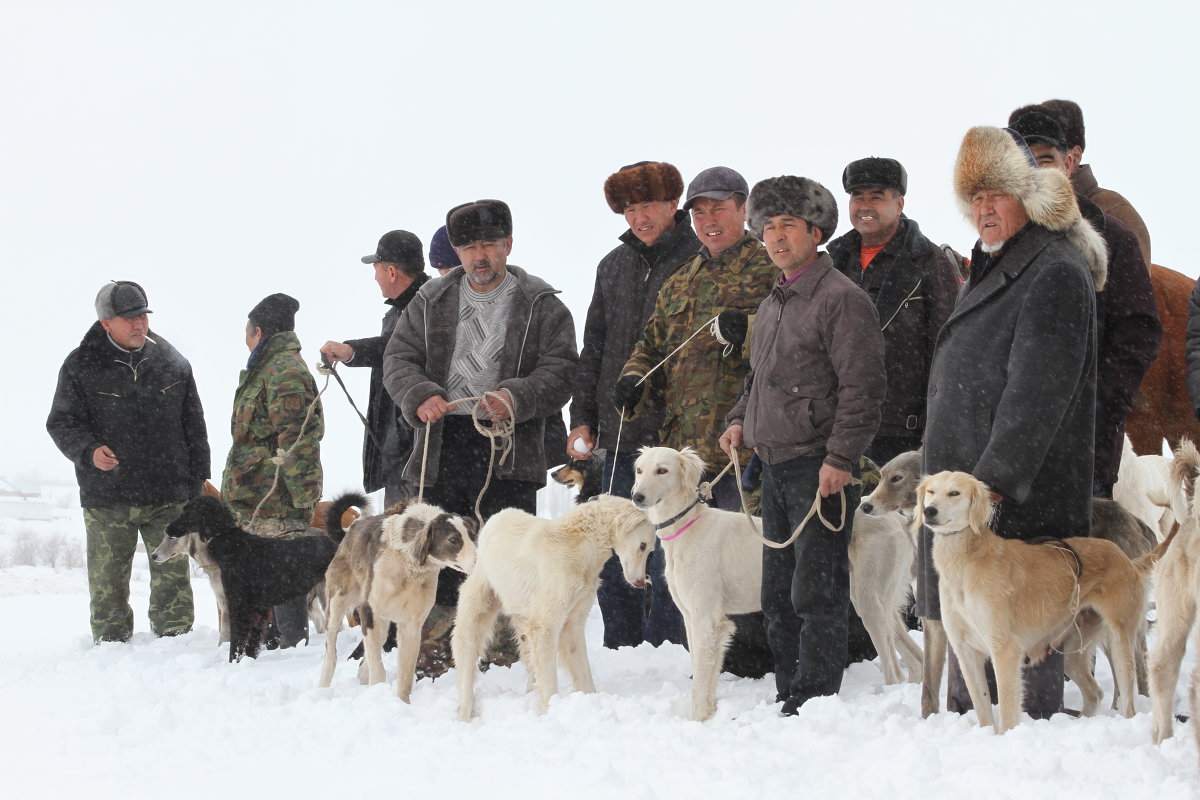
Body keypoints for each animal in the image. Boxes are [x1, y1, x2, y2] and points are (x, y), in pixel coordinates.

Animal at [166, 501, 343, 662]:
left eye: (188, 512)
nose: (167, 529)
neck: (233, 544)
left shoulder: (239, 606)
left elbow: (236, 643)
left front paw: (233, 663)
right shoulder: (259, 609)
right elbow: (253, 643)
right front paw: (249, 661)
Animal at [451, 494, 657, 719]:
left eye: (650, 551)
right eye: (643, 545)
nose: (642, 583)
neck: (578, 545)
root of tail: (491, 521)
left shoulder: (573, 624)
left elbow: (584, 676)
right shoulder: (544, 627)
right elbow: (549, 683)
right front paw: (549, 712)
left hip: (523, 626)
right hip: (474, 618)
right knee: (466, 676)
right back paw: (464, 715)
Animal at [916, 472, 1171, 734]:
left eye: (954, 493)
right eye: (931, 492)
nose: (929, 511)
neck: (966, 562)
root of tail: (1128, 561)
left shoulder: (1005, 650)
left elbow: (1007, 711)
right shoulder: (966, 652)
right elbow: (982, 708)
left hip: (1119, 640)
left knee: (1127, 700)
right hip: (1072, 650)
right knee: (1094, 693)